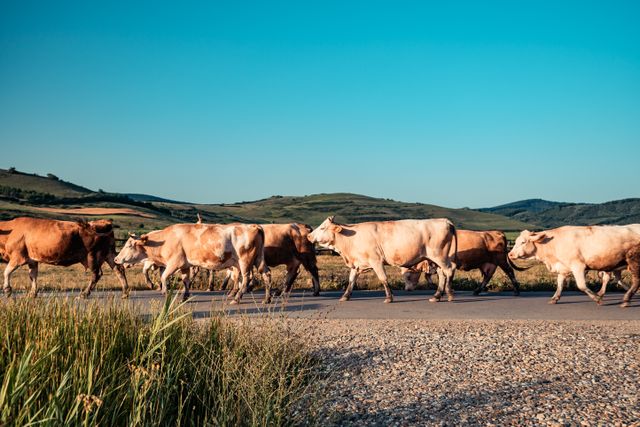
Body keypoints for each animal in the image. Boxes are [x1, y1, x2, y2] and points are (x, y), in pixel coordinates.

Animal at [0, 217, 129, 298]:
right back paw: (125, 293)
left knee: (97, 274)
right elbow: (33, 276)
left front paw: (7, 289)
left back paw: (84, 294)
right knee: (119, 270)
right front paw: (33, 293)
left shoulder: (18, 257)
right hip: (109, 254)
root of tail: (103, 222)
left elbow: (6, 272)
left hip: (93, 256)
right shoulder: (32, 260)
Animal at [114, 223, 271, 303]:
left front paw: (165, 292)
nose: (115, 259)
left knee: (246, 278)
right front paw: (185, 296)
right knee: (266, 274)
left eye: (129, 245)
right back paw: (267, 299)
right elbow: (185, 281)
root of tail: (254, 226)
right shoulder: (184, 265)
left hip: (245, 261)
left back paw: (237, 298)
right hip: (259, 259)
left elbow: (164, 276)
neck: (165, 239)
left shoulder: (174, 263)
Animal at [307, 216, 457, 303]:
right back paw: (437, 296)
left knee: (449, 270)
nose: (309, 236)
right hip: (436, 260)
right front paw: (345, 296)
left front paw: (389, 297)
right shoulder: (357, 264)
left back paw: (449, 294)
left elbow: (383, 278)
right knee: (442, 274)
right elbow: (351, 280)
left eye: (322, 227)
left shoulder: (376, 261)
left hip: (439, 256)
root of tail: (445, 220)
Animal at [508, 225, 640, 307]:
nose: (510, 254)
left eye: (523, 242)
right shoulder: (563, 268)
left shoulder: (578, 266)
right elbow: (560, 284)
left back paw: (626, 298)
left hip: (633, 262)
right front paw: (555, 298)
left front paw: (597, 298)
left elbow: (581, 285)